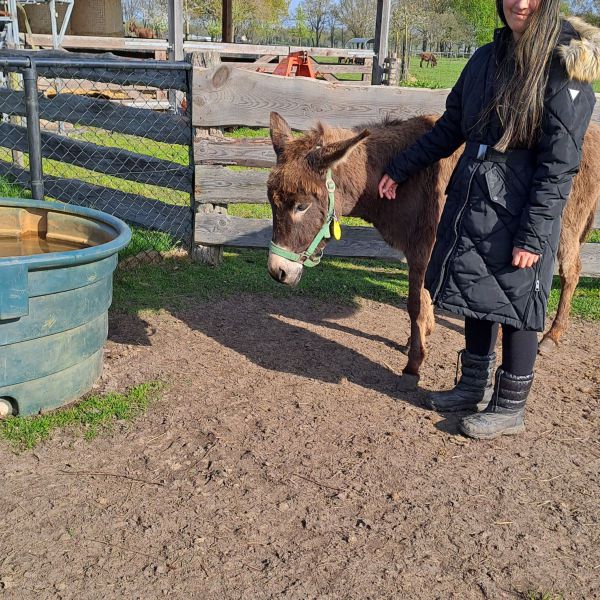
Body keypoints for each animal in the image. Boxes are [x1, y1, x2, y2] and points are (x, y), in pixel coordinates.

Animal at [268, 112, 600, 390]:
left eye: (302, 206)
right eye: (272, 203)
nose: (276, 271)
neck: (400, 176)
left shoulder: (423, 249)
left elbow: (414, 304)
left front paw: (413, 365)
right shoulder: (420, 251)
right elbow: (423, 299)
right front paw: (421, 336)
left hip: (563, 229)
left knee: (571, 273)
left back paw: (552, 336)